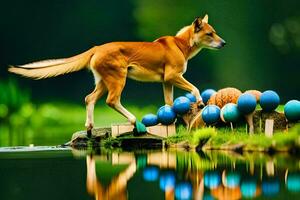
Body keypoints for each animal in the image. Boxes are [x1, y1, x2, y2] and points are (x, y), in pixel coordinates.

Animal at [8, 14, 225, 134]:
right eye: (209, 34)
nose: (223, 43)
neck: (181, 45)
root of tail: (96, 48)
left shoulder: (166, 81)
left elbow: (169, 102)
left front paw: (170, 121)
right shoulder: (172, 76)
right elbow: (194, 88)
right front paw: (199, 103)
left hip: (103, 81)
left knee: (89, 98)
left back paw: (89, 126)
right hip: (118, 78)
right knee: (111, 101)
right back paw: (134, 122)